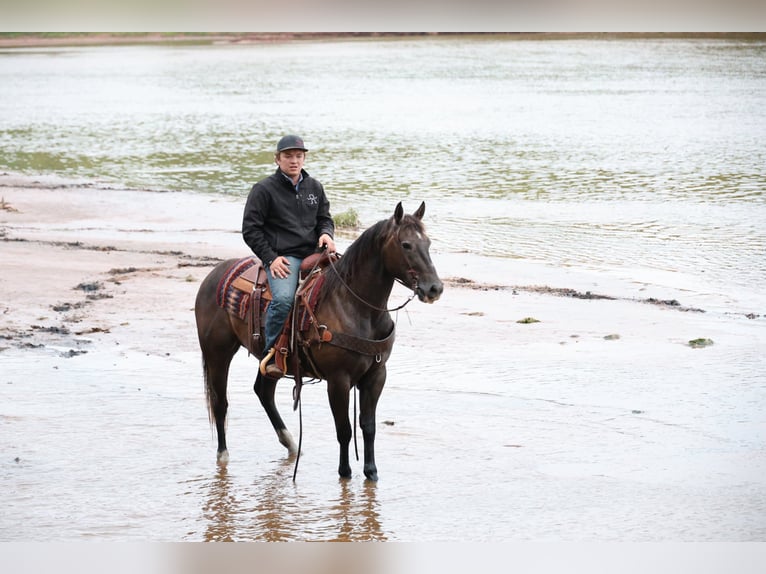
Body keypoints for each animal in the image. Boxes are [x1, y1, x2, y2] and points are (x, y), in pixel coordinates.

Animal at [194, 201, 443, 481]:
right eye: (406, 245)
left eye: (428, 243)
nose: (434, 288)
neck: (356, 306)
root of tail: (214, 275)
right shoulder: (338, 379)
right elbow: (344, 429)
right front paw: (345, 472)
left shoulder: (377, 375)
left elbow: (368, 426)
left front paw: (371, 472)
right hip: (217, 353)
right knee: (220, 402)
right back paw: (223, 454)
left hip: (272, 363)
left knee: (263, 392)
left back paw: (291, 443)